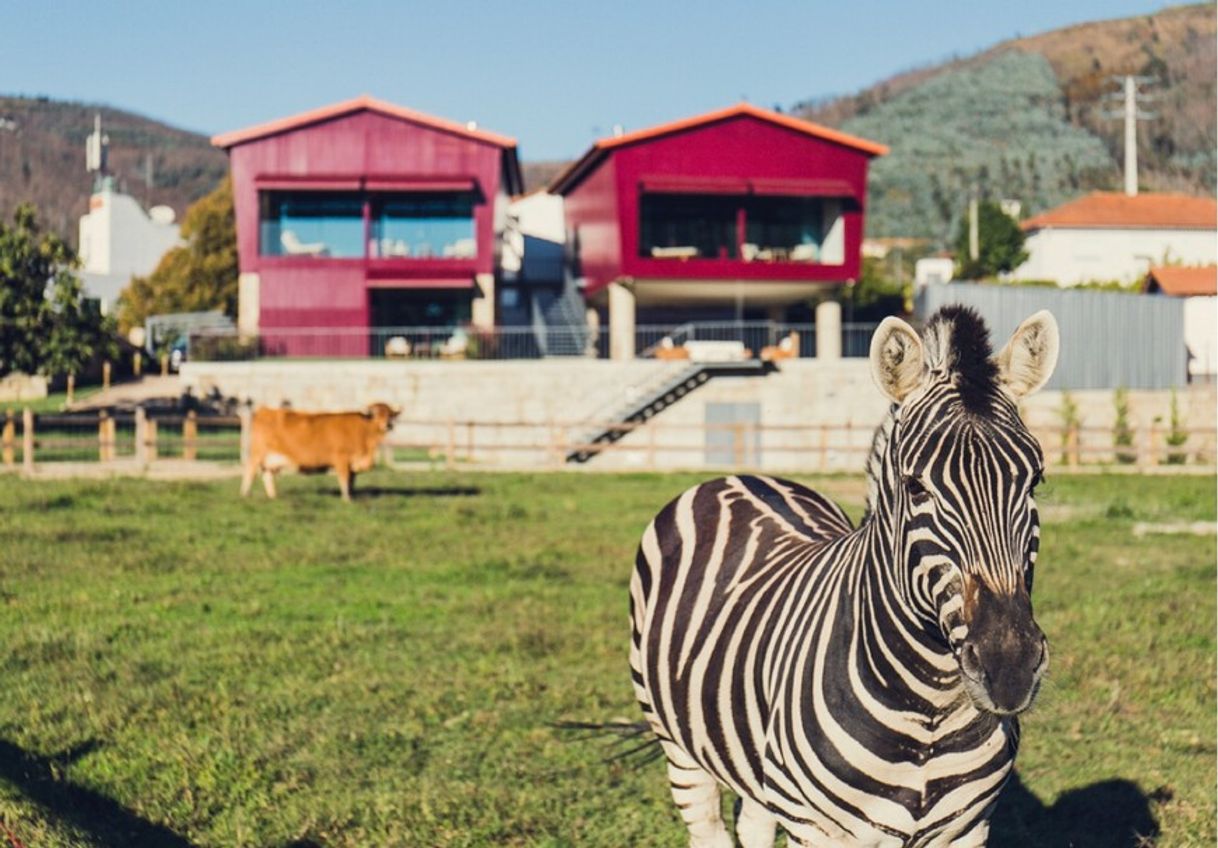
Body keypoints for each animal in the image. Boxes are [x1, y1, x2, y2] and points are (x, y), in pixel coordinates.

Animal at [241, 402, 399, 499]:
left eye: (390, 414)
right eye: (376, 413)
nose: (388, 425)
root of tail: (265, 410)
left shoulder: (352, 463)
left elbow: (351, 481)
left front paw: (351, 496)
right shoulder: (341, 459)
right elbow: (344, 480)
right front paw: (346, 499)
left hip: (270, 460)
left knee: (267, 476)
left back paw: (273, 496)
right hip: (257, 454)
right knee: (250, 472)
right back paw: (245, 494)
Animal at [633, 305, 1062, 848]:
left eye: (1035, 480)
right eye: (915, 486)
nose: (1009, 668)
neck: (930, 707)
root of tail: (738, 477)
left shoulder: (969, 828)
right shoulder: (816, 827)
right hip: (677, 742)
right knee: (707, 826)